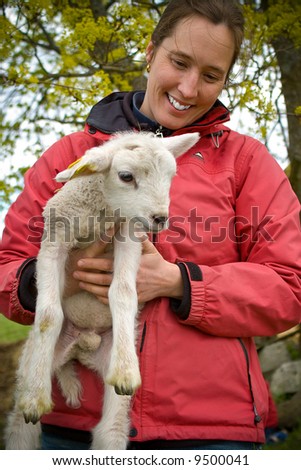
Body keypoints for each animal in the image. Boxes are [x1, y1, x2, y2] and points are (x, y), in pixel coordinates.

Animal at [5, 131, 199, 448]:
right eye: (126, 176)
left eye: (171, 175)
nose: (160, 218)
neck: (101, 214)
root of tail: (82, 345)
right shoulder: (54, 240)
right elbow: (48, 314)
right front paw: (36, 399)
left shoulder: (128, 236)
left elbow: (123, 293)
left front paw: (127, 372)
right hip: (32, 360)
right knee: (22, 426)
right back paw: (37, 396)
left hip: (108, 363)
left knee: (111, 429)